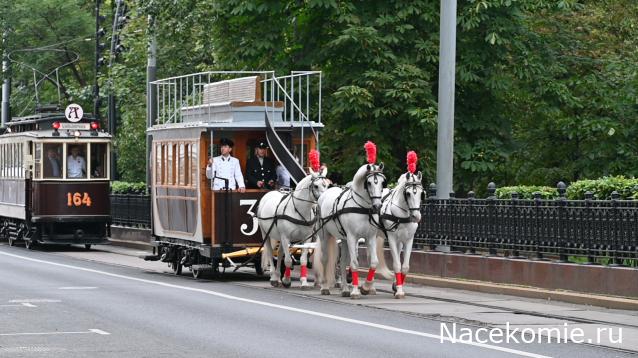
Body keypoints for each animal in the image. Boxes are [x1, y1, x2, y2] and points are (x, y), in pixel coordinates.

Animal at [314, 164, 390, 298]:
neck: (363, 208)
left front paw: (365, 287)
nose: (377, 206)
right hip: (324, 235)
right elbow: (354, 263)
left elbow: (373, 262)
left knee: (343, 262)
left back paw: (345, 289)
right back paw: (325, 287)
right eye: (369, 183)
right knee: (325, 259)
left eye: (382, 182)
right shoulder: (352, 237)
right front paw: (355, 291)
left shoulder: (370, 237)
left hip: (343, 239)